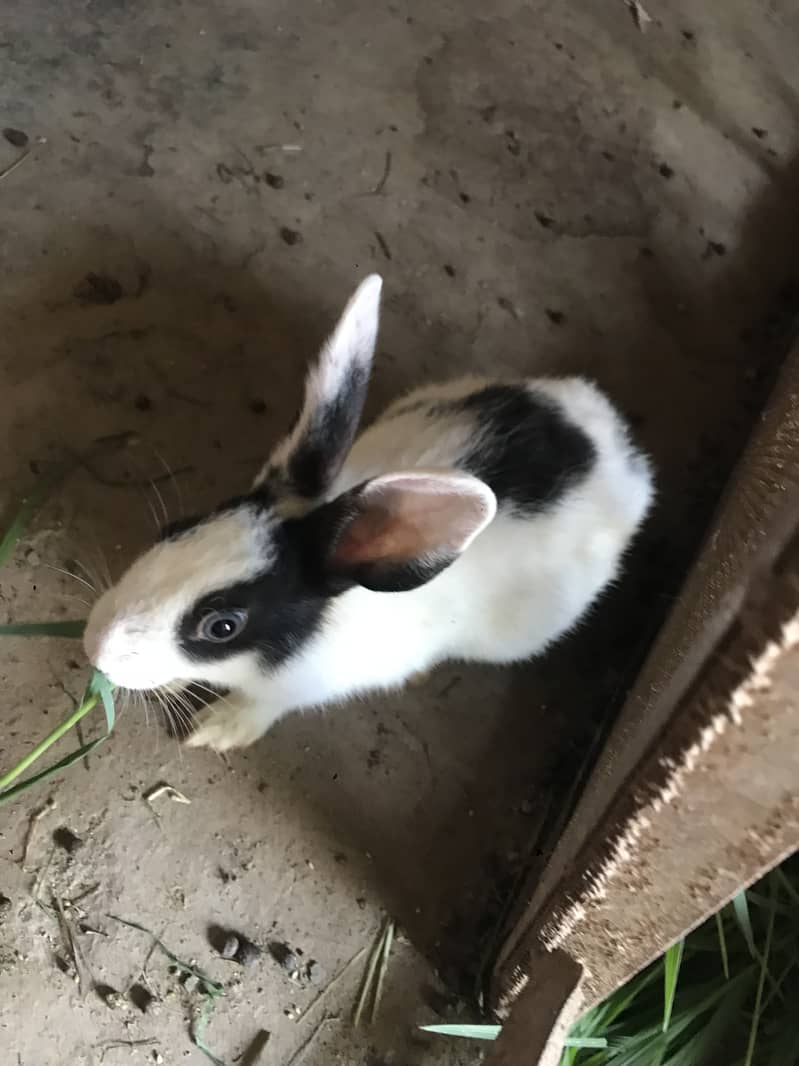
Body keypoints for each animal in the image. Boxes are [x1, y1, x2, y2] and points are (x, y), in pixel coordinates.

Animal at [83, 274, 654, 751]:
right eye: (175, 528)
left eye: (222, 626)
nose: (96, 648)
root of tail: (614, 445)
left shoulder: (293, 691)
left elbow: (259, 706)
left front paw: (216, 731)